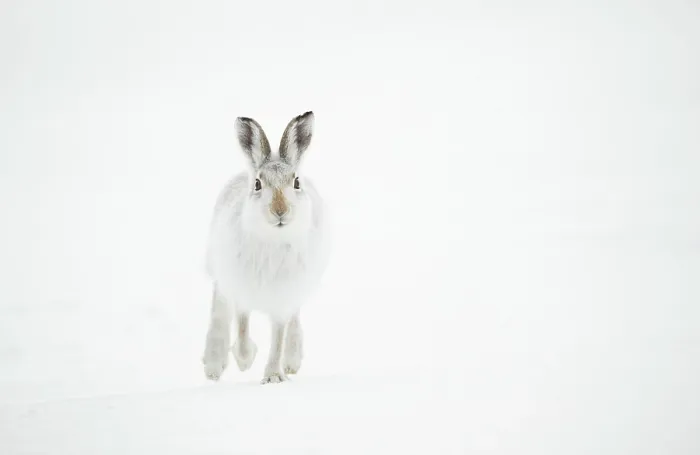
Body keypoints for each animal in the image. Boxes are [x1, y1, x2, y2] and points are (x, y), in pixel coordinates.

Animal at [202, 111, 330, 384]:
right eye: (258, 184)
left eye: (296, 182)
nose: (280, 211)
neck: (273, 240)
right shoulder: (240, 287)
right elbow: (241, 327)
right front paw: (245, 359)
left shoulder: (282, 297)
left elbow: (278, 337)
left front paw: (273, 377)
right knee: (220, 315)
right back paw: (213, 366)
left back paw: (292, 361)